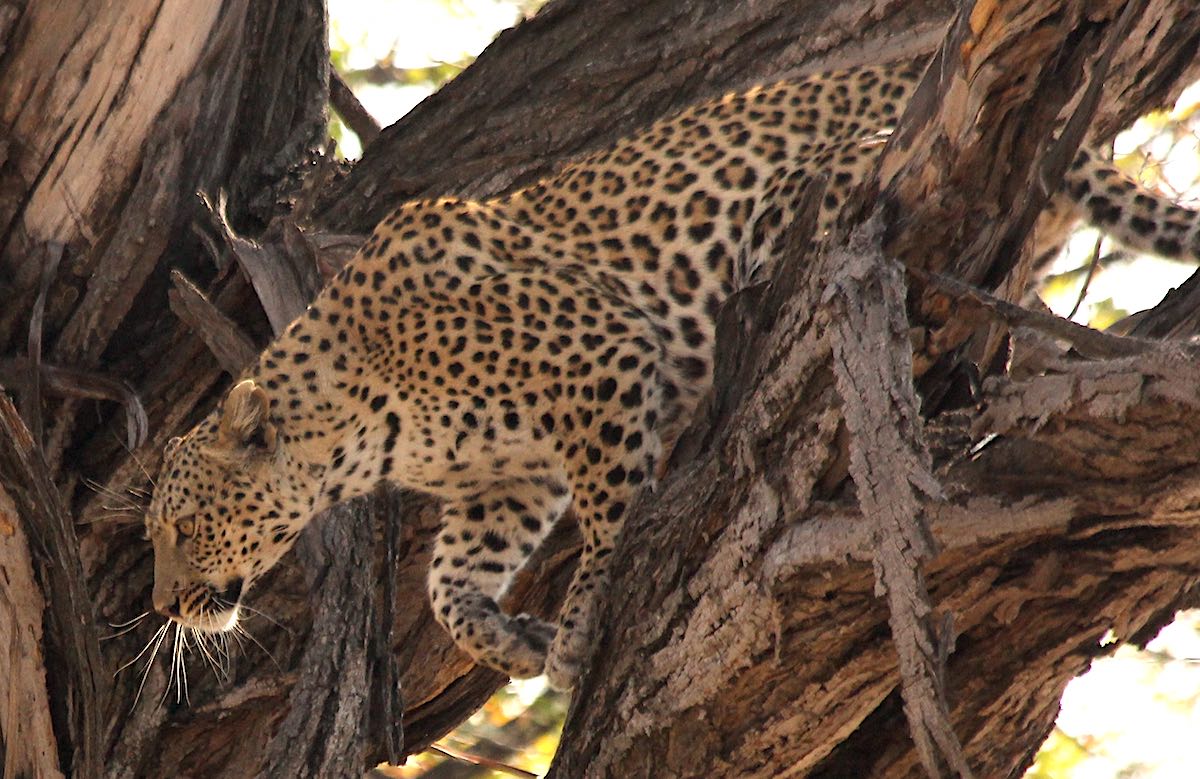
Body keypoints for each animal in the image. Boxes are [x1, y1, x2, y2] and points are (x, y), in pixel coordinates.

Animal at [145, 58, 1200, 691]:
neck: (359, 425)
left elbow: (613, 515)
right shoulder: (505, 478)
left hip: (826, 192)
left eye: (183, 529)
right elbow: (448, 587)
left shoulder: (600, 353)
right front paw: (514, 641)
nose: (160, 606)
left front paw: (578, 627)